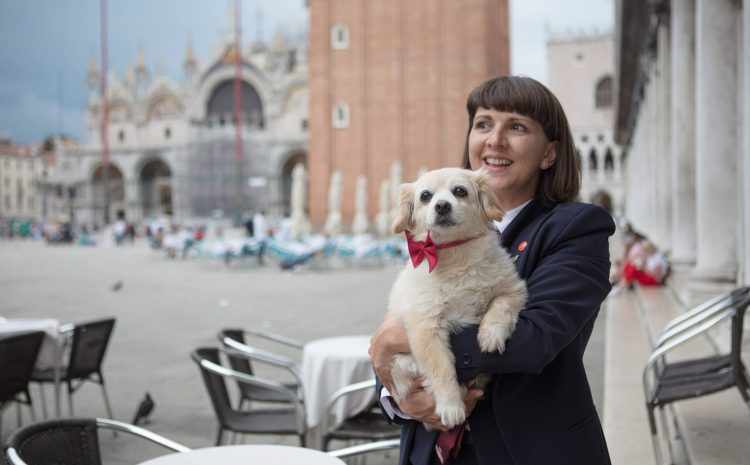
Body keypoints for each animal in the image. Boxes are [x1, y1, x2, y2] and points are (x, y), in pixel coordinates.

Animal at [388, 167, 528, 428]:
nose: (442, 206)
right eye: (425, 196)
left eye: (460, 191)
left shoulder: (513, 289)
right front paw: (450, 407)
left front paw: (491, 335)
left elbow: (500, 307)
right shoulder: (426, 326)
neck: (456, 254)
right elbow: (440, 367)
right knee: (404, 368)